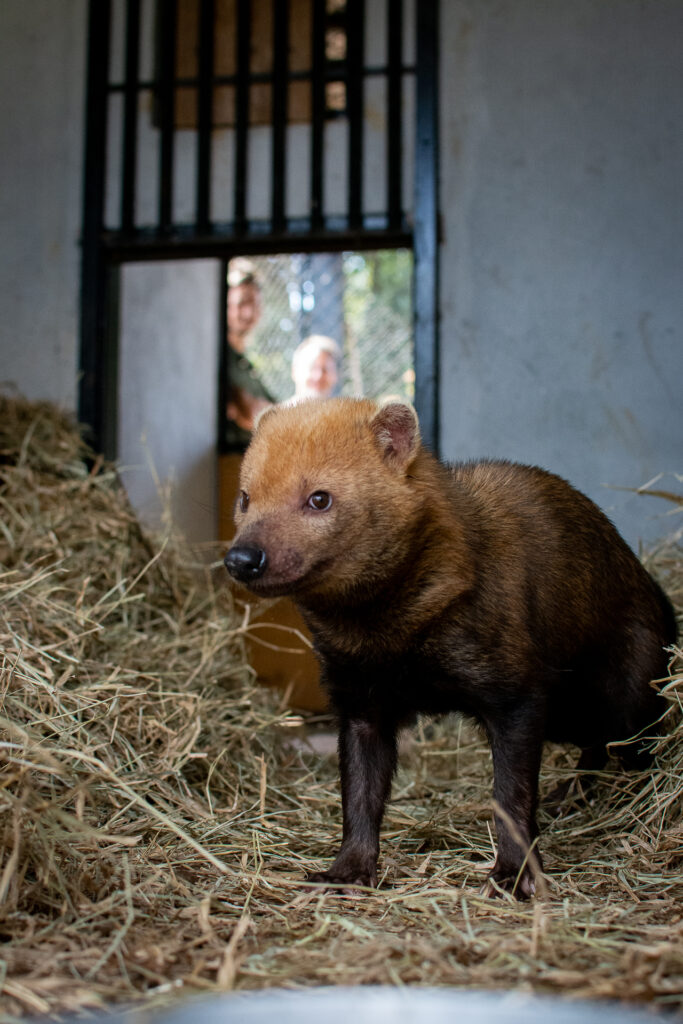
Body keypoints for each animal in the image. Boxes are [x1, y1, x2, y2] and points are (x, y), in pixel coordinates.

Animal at [225, 397, 679, 897]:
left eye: (319, 498)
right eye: (244, 497)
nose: (242, 558)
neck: (390, 638)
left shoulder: (517, 700)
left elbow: (512, 797)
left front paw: (514, 874)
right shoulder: (362, 706)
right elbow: (359, 796)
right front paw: (346, 872)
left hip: (624, 700)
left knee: (634, 748)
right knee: (596, 748)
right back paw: (568, 797)